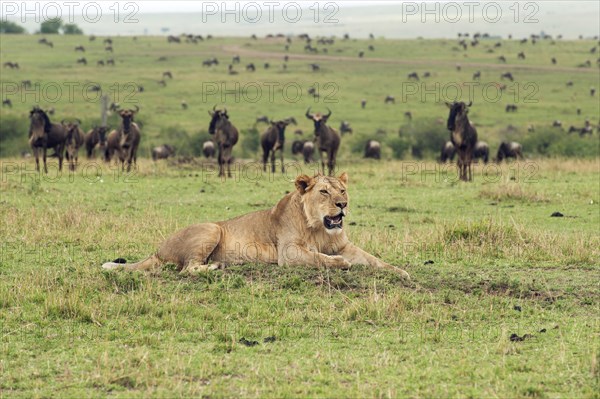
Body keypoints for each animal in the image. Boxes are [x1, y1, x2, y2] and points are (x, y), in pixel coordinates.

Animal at [102, 173, 412, 280]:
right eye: (324, 192)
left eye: (343, 190)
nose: (342, 204)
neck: (319, 228)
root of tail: (157, 250)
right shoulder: (288, 253)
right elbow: (321, 258)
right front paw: (339, 264)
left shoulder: (345, 245)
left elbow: (374, 260)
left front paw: (401, 272)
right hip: (211, 229)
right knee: (187, 268)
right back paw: (216, 267)